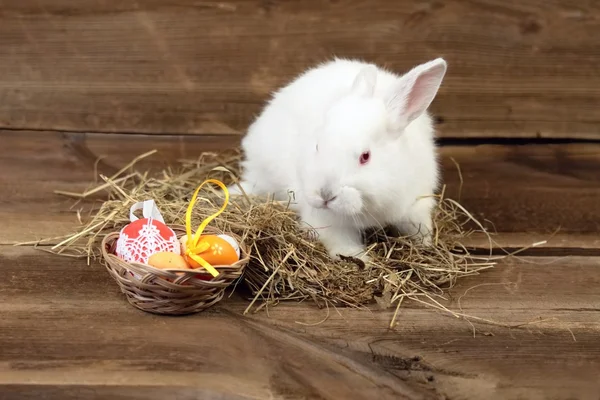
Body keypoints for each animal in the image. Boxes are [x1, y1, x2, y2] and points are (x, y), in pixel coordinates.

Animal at [230, 57, 446, 260]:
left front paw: (425, 244)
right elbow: (341, 243)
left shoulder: (417, 204)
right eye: (317, 146)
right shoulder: (328, 223)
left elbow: (419, 226)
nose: (325, 194)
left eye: (365, 156)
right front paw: (359, 259)